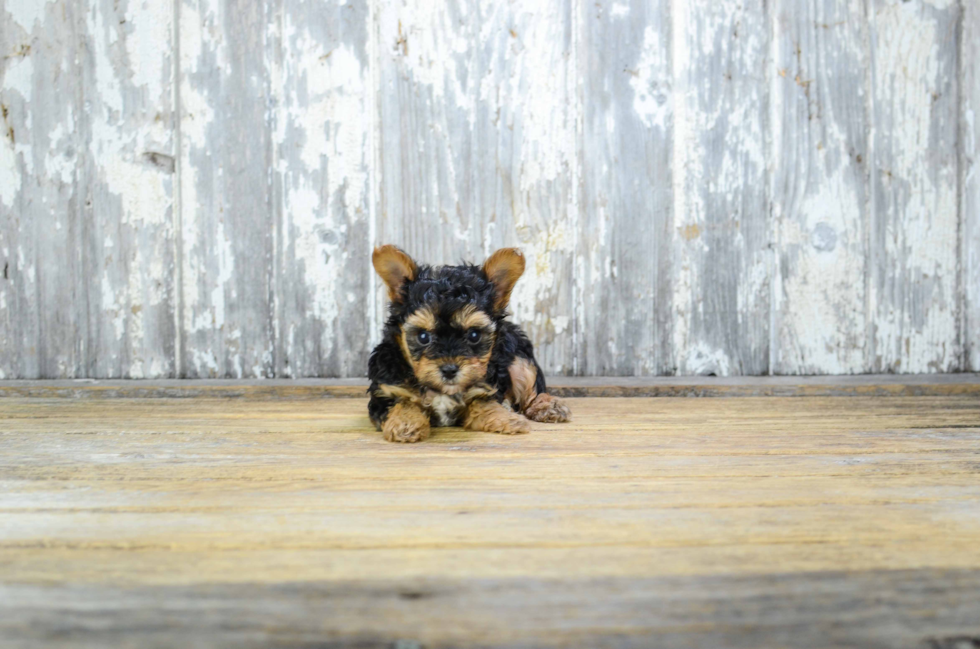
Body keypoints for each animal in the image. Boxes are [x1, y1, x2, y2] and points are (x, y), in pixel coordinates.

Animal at [368, 246, 572, 442]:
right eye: (423, 337)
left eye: (474, 335)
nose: (449, 370)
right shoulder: (386, 391)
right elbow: (402, 402)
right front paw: (405, 423)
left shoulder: (484, 390)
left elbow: (484, 405)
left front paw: (508, 419)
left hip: (519, 357)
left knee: (531, 392)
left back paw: (548, 406)